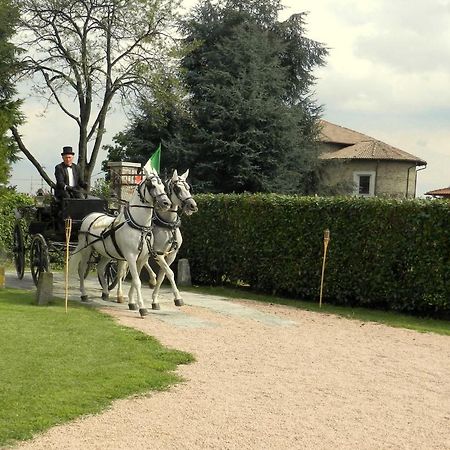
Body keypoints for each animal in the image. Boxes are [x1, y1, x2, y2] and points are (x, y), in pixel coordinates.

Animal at [71, 170, 171, 316]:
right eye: (152, 186)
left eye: (163, 186)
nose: (166, 203)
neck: (139, 226)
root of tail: (89, 217)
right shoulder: (130, 257)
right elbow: (137, 281)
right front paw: (142, 308)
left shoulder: (141, 259)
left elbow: (135, 281)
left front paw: (132, 303)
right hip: (86, 250)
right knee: (82, 269)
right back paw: (84, 294)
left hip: (106, 254)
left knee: (100, 267)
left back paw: (105, 293)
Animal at [117, 167, 198, 312]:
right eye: (177, 188)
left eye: (188, 187)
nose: (193, 206)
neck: (168, 225)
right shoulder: (158, 253)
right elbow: (170, 273)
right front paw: (178, 298)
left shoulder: (171, 255)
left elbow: (163, 275)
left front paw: (155, 300)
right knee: (121, 272)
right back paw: (120, 295)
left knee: (143, 265)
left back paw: (150, 281)